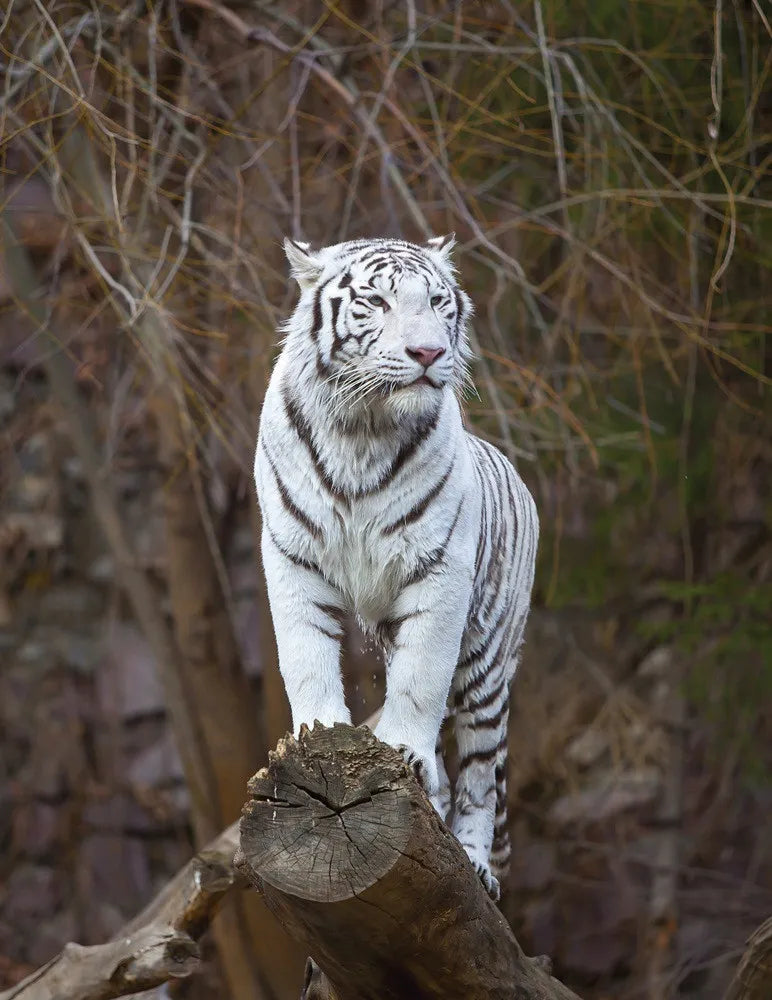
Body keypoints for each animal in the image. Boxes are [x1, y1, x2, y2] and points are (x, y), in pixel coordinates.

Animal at [254, 235, 538, 899]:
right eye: (376, 302)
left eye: (436, 301)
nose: (428, 352)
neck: (363, 428)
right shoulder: (292, 558)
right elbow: (305, 658)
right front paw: (318, 733)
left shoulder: (438, 572)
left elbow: (419, 679)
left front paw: (405, 752)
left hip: (487, 663)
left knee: (480, 772)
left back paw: (475, 860)